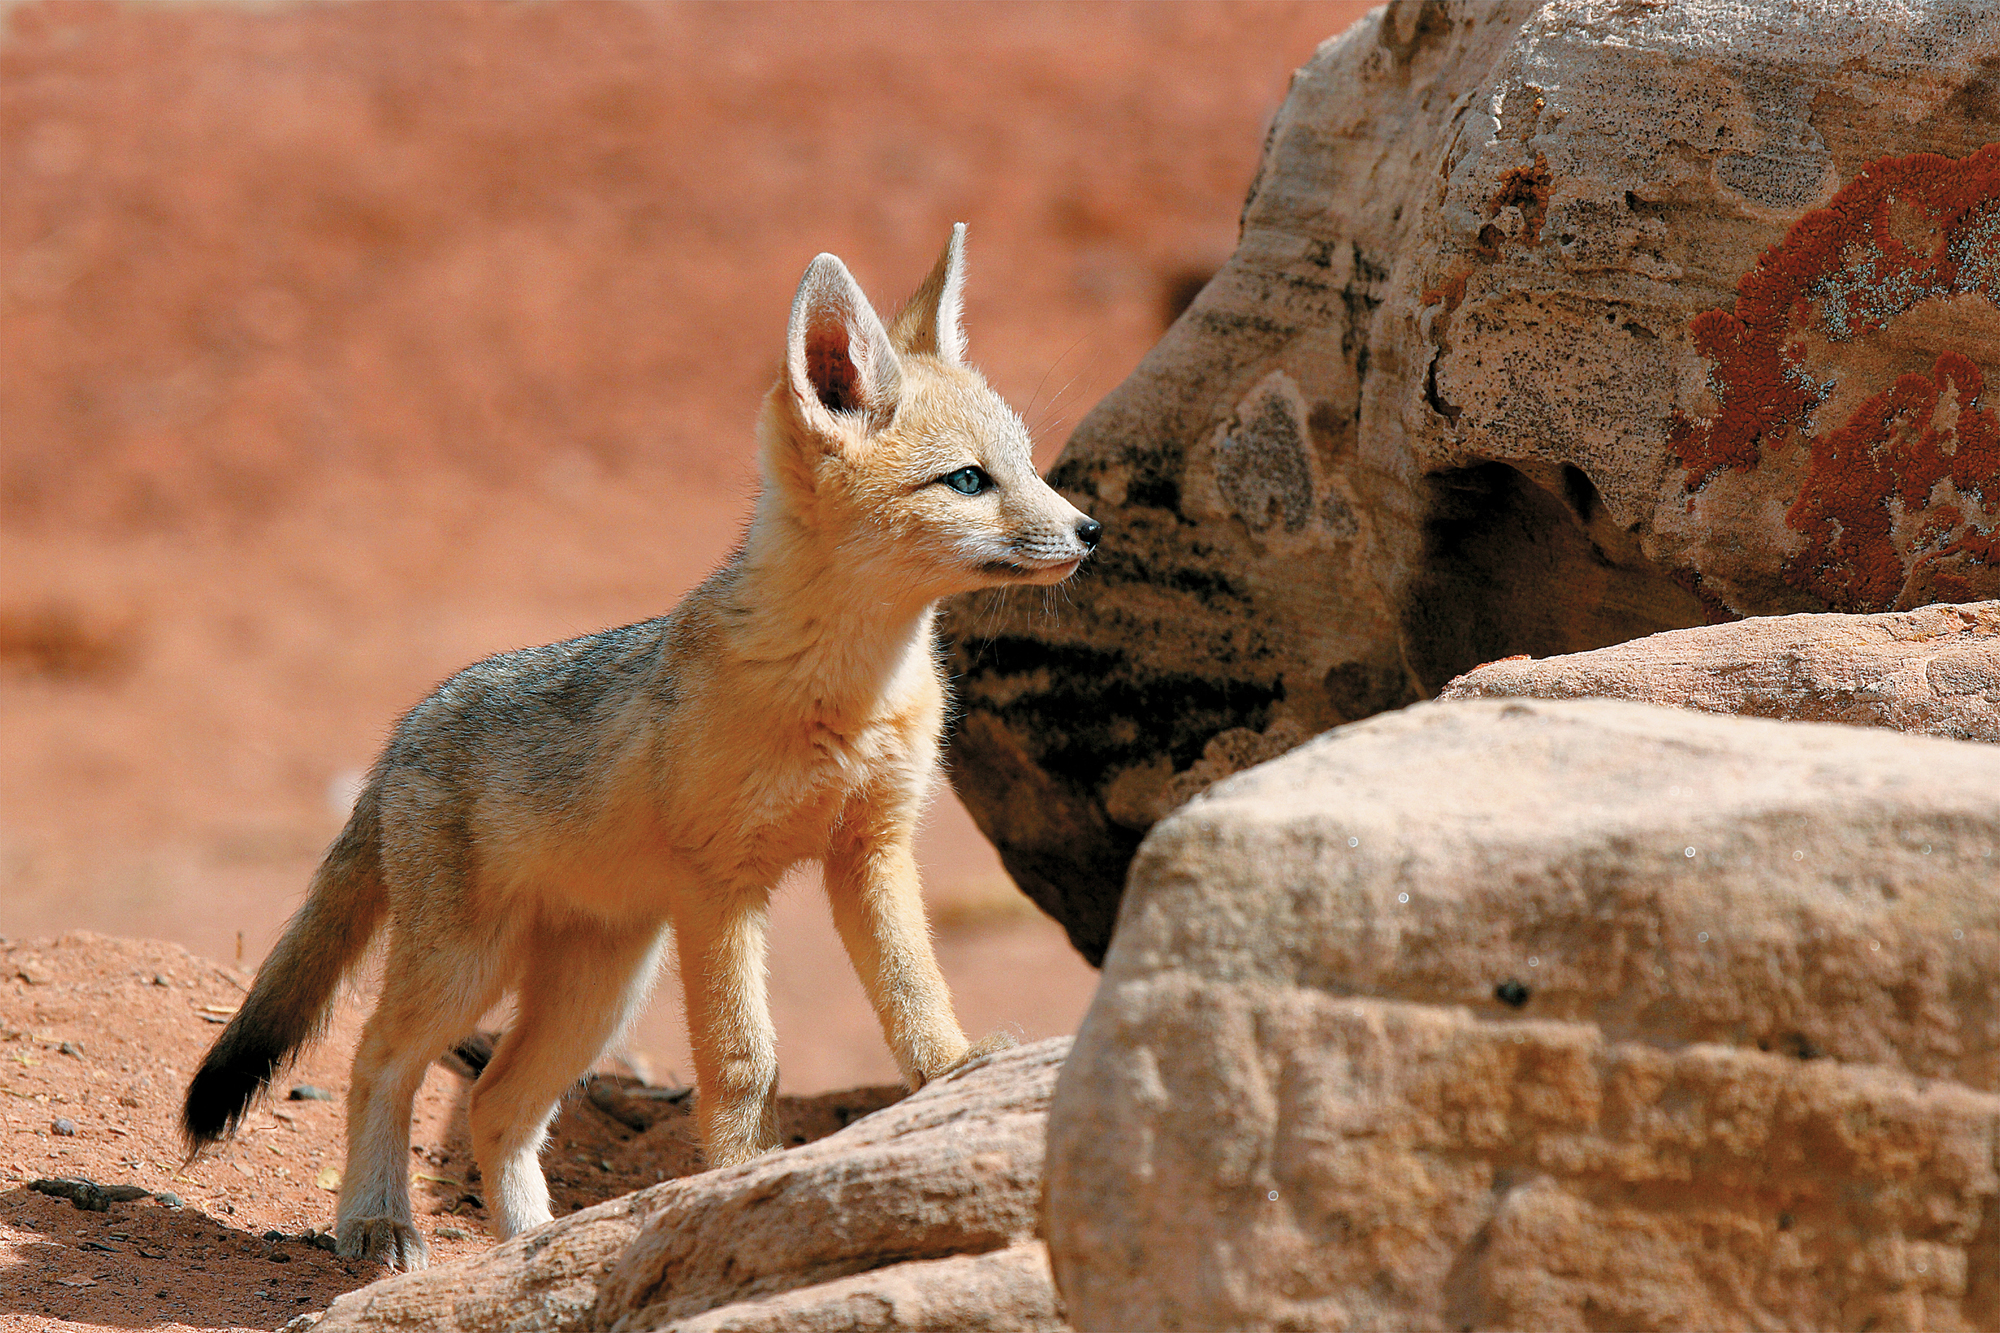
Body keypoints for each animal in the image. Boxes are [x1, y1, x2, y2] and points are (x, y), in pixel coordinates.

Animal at [180, 228, 1104, 1264]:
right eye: (970, 480)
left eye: (1029, 465)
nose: (1090, 530)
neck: (847, 690)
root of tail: (408, 725)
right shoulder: (720, 887)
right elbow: (744, 1061)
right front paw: (743, 1176)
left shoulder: (871, 851)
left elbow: (916, 993)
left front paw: (954, 1072)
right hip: (470, 968)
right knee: (379, 1057)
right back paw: (376, 1220)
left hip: (601, 988)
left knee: (496, 1101)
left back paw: (531, 1247)